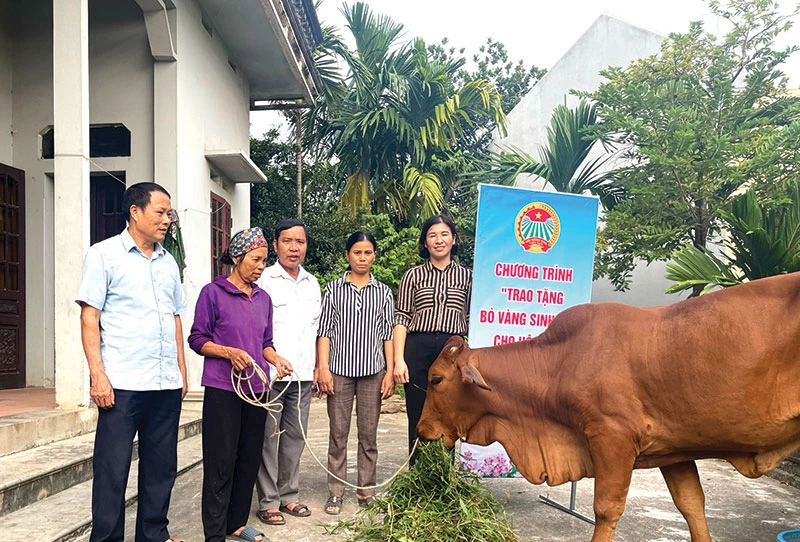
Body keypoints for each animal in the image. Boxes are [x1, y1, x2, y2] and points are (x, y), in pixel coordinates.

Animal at [416, 276, 800, 542]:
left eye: (436, 379)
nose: (421, 429)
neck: (560, 361)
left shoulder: (612, 439)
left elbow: (606, 509)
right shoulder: (675, 450)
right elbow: (692, 506)